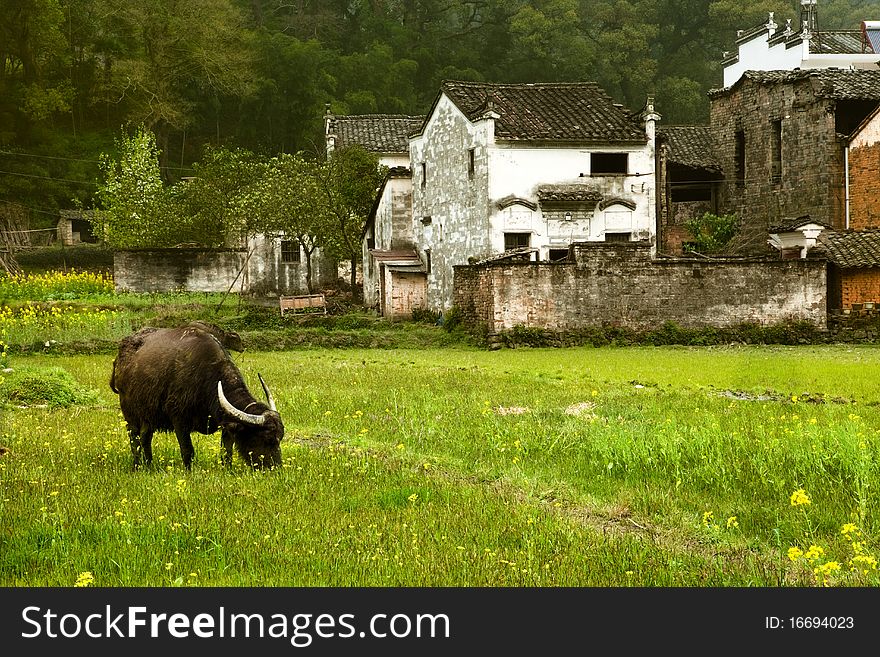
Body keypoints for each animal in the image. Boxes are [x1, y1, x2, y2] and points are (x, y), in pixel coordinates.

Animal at [108, 322, 284, 466]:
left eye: (280, 437)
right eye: (267, 439)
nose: (275, 467)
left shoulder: (226, 424)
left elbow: (226, 453)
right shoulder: (178, 419)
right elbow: (187, 451)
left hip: (148, 414)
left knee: (145, 437)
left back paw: (149, 464)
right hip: (130, 413)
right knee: (134, 438)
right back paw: (137, 465)